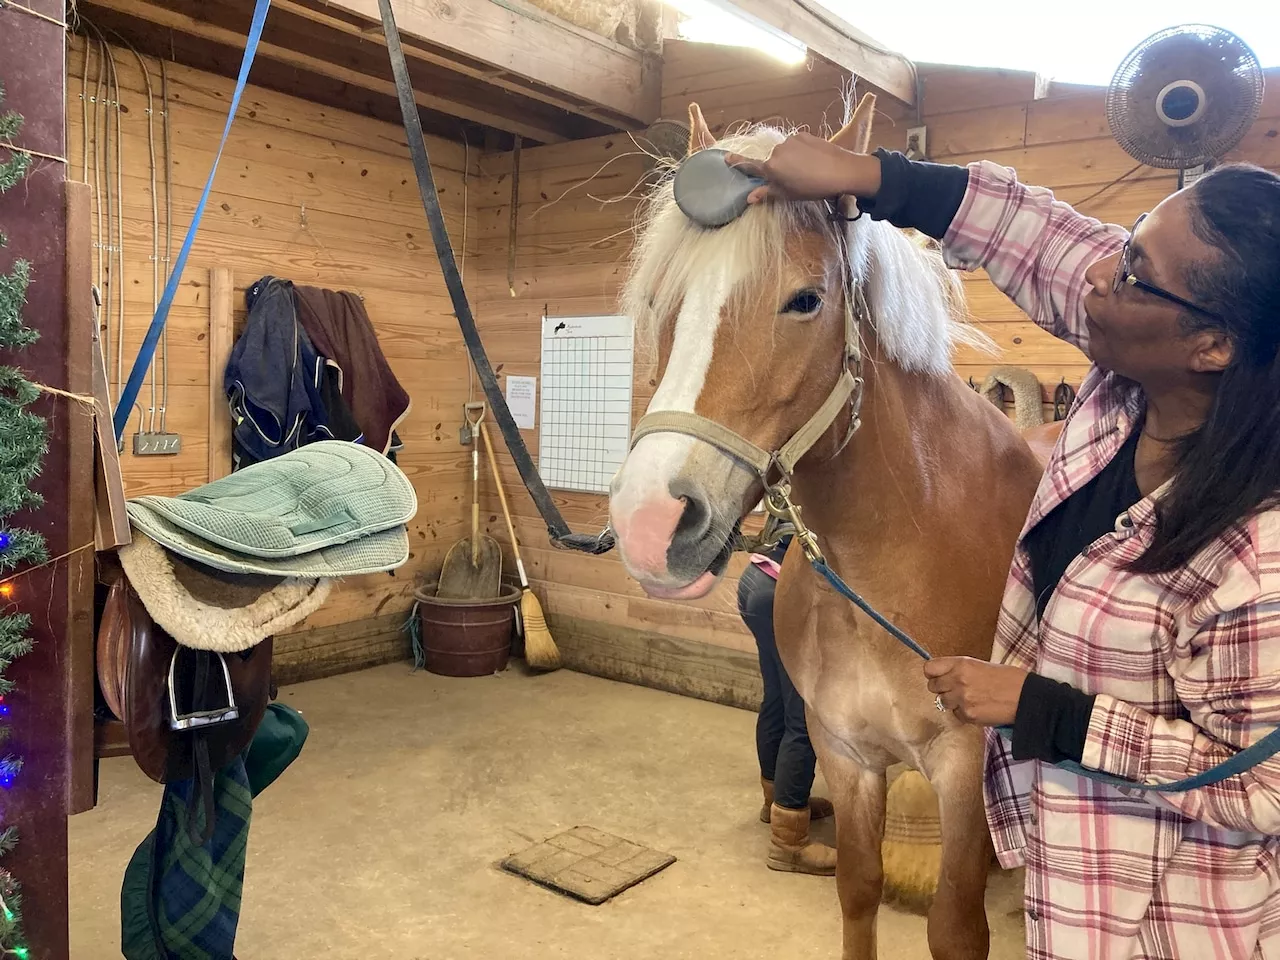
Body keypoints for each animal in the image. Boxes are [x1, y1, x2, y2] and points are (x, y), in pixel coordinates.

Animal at [604, 96, 1044, 960]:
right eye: (664, 302)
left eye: (805, 300)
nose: (649, 523)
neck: (898, 553)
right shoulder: (846, 751)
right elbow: (858, 889)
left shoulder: (964, 769)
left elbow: (956, 926)